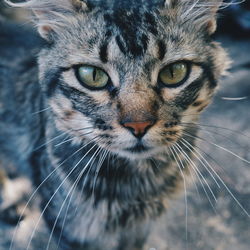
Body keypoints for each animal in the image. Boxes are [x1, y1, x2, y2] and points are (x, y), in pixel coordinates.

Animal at [0, 0, 230, 250]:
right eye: (92, 75)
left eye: (174, 72)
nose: (139, 125)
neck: (139, 183)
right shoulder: (71, 231)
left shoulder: (139, 230)